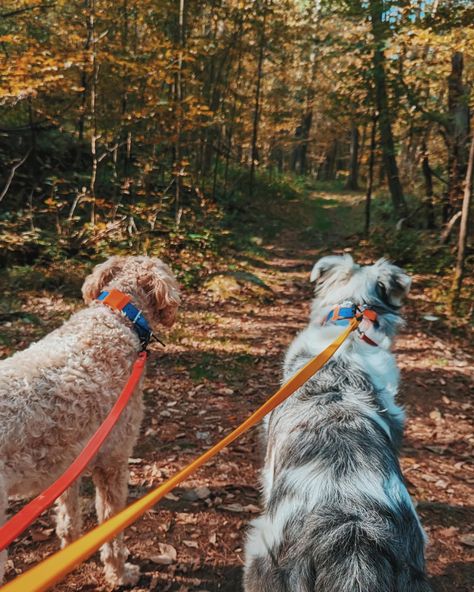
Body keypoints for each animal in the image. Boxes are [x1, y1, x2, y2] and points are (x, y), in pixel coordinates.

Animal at [0, 256, 181, 588]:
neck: (115, 317)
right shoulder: (113, 461)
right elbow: (111, 528)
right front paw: (119, 573)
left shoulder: (68, 462)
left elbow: (69, 517)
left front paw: (67, 555)